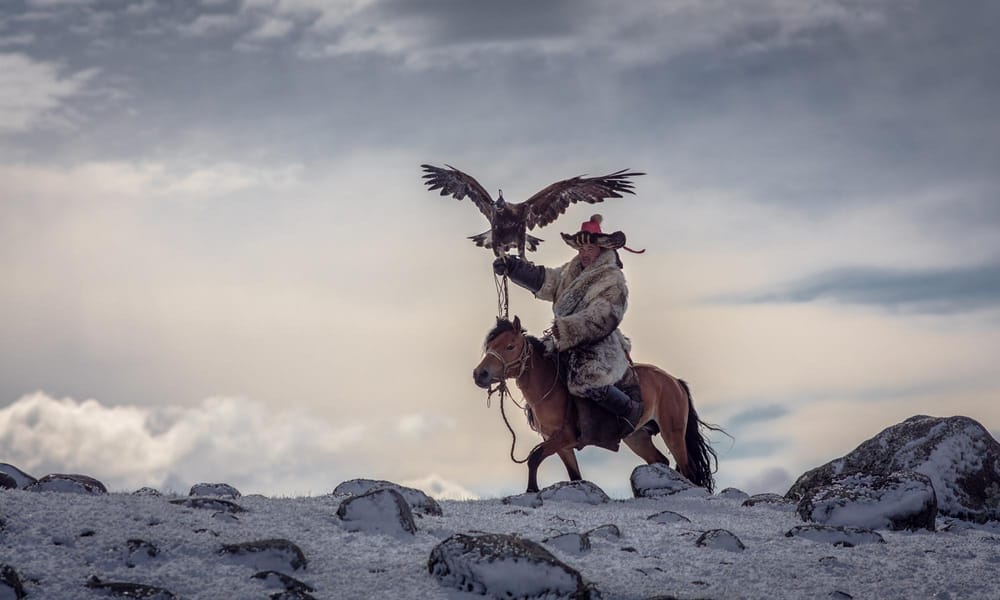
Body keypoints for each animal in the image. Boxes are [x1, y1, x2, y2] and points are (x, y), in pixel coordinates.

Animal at [472, 316, 724, 494]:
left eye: (510, 346)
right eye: (490, 345)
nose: (480, 374)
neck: (549, 386)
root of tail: (674, 381)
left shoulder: (564, 437)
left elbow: (534, 458)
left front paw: (531, 490)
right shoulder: (559, 443)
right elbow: (574, 476)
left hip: (673, 433)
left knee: (688, 468)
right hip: (638, 437)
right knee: (660, 461)